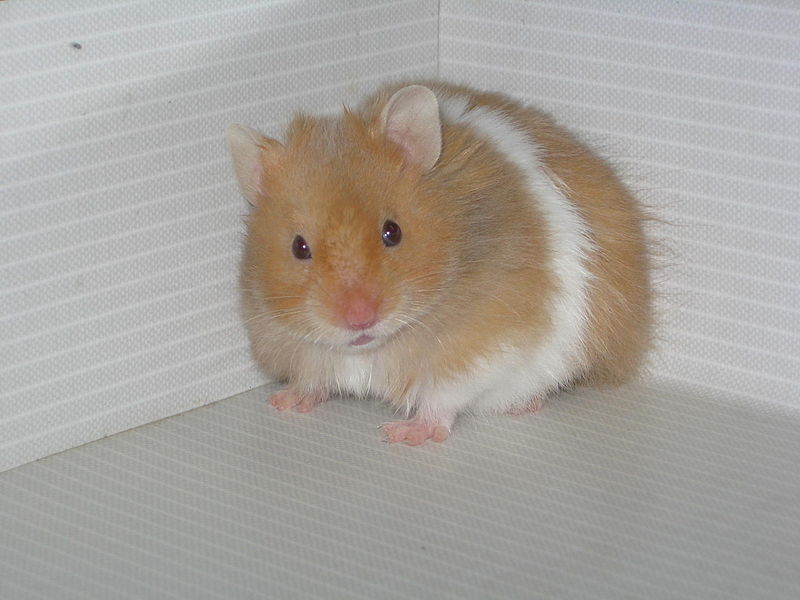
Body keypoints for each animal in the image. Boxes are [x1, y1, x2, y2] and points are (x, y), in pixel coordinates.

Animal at [226, 82, 651, 446]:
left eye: (392, 232)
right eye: (299, 248)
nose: (360, 319)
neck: (369, 348)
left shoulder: (486, 346)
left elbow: (441, 396)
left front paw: (402, 435)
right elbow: (311, 378)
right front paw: (282, 403)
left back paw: (522, 406)